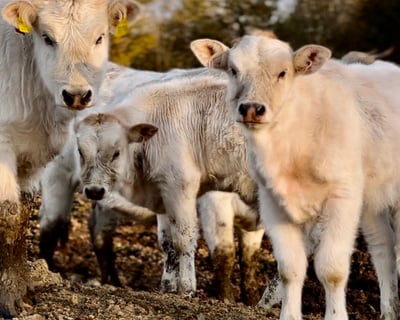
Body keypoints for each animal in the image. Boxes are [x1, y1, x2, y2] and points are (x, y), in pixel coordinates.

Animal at [0, 0, 141, 318]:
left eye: (100, 37)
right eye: (47, 38)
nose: (76, 95)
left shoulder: (33, 156)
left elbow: (22, 217)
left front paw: (23, 292)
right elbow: (8, 215)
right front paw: (8, 298)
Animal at [190, 35, 400, 320]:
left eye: (283, 73)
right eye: (233, 70)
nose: (251, 109)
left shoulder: (341, 200)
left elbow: (332, 270)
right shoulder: (273, 204)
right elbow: (289, 269)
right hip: (372, 202)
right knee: (383, 249)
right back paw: (390, 311)